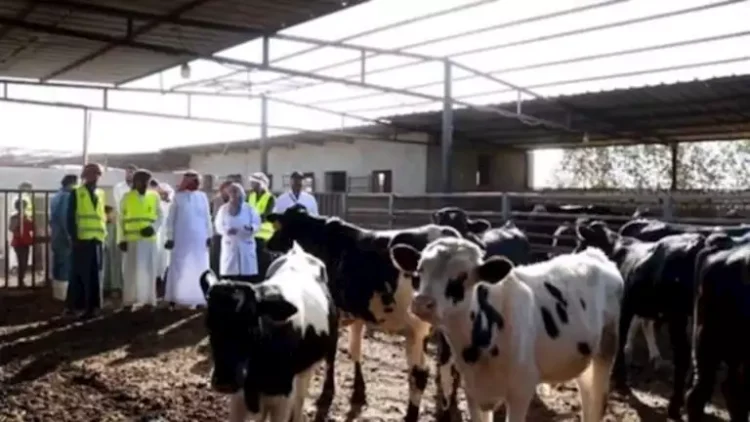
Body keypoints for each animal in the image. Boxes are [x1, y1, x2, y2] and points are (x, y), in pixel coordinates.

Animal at [199, 242, 338, 422]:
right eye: (209, 325)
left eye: (251, 324)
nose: (224, 381)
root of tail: (298, 252)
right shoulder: (238, 398)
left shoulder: (282, 398)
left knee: (301, 399)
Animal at [266, 204, 460, 422]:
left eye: (281, 225)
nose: (268, 242)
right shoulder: (357, 313)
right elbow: (355, 349)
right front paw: (358, 391)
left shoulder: (334, 313)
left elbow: (331, 354)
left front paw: (327, 392)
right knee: (446, 370)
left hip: (417, 329)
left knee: (420, 374)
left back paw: (412, 414)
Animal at [390, 236, 622, 421]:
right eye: (419, 271)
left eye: (463, 276)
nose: (422, 303)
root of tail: (595, 254)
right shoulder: (473, 391)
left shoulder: (521, 390)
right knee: (587, 397)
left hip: (605, 354)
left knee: (597, 403)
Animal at [575, 220, 706, 420]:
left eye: (582, 243)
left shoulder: (622, 310)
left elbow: (620, 341)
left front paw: (620, 379)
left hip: (677, 316)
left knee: (682, 354)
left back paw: (674, 407)